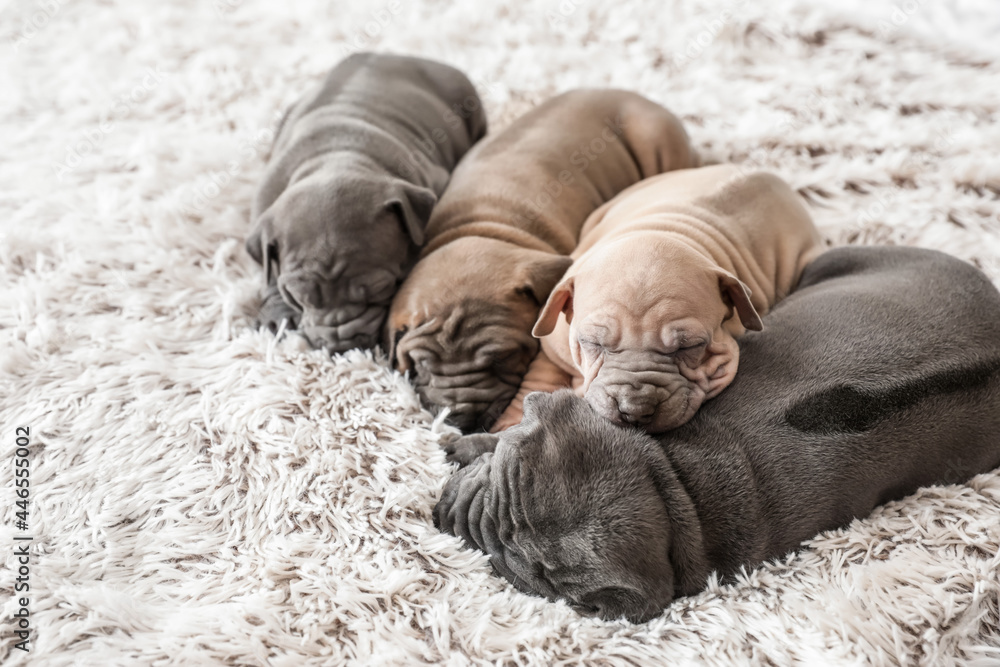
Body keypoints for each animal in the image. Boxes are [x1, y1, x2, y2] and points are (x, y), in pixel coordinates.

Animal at [248, 54, 486, 352]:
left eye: (380, 289)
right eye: (297, 297)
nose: (340, 345)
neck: (335, 158)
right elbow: (268, 274)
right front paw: (277, 316)